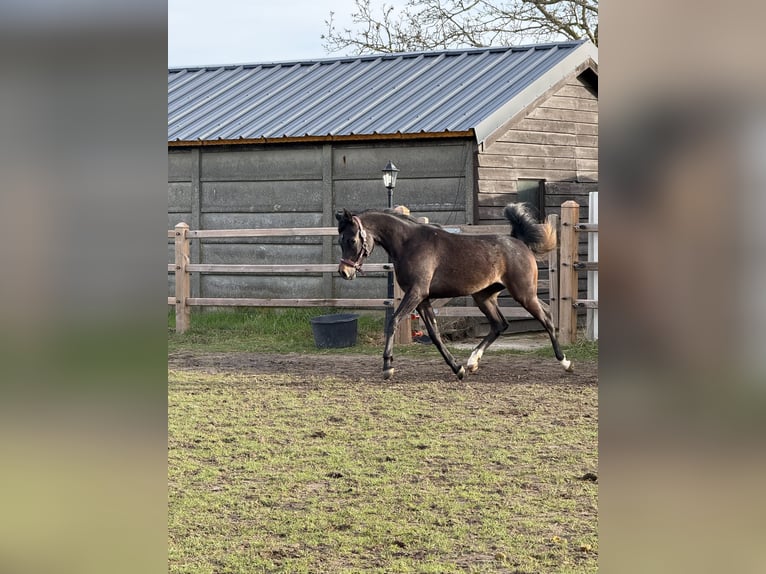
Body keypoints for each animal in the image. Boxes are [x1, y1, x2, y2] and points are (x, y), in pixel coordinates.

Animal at [336, 203, 573, 380]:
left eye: (352, 240)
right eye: (340, 240)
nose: (344, 272)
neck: (409, 244)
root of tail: (518, 243)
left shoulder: (416, 294)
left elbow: (393, 321)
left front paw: (387, 367)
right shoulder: (423, 299)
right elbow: (434, 334)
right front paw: (457, 369)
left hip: (524, 294)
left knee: (546, 317)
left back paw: (565, 362)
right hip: (483, 296)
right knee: (500, 324)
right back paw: (472, 362)